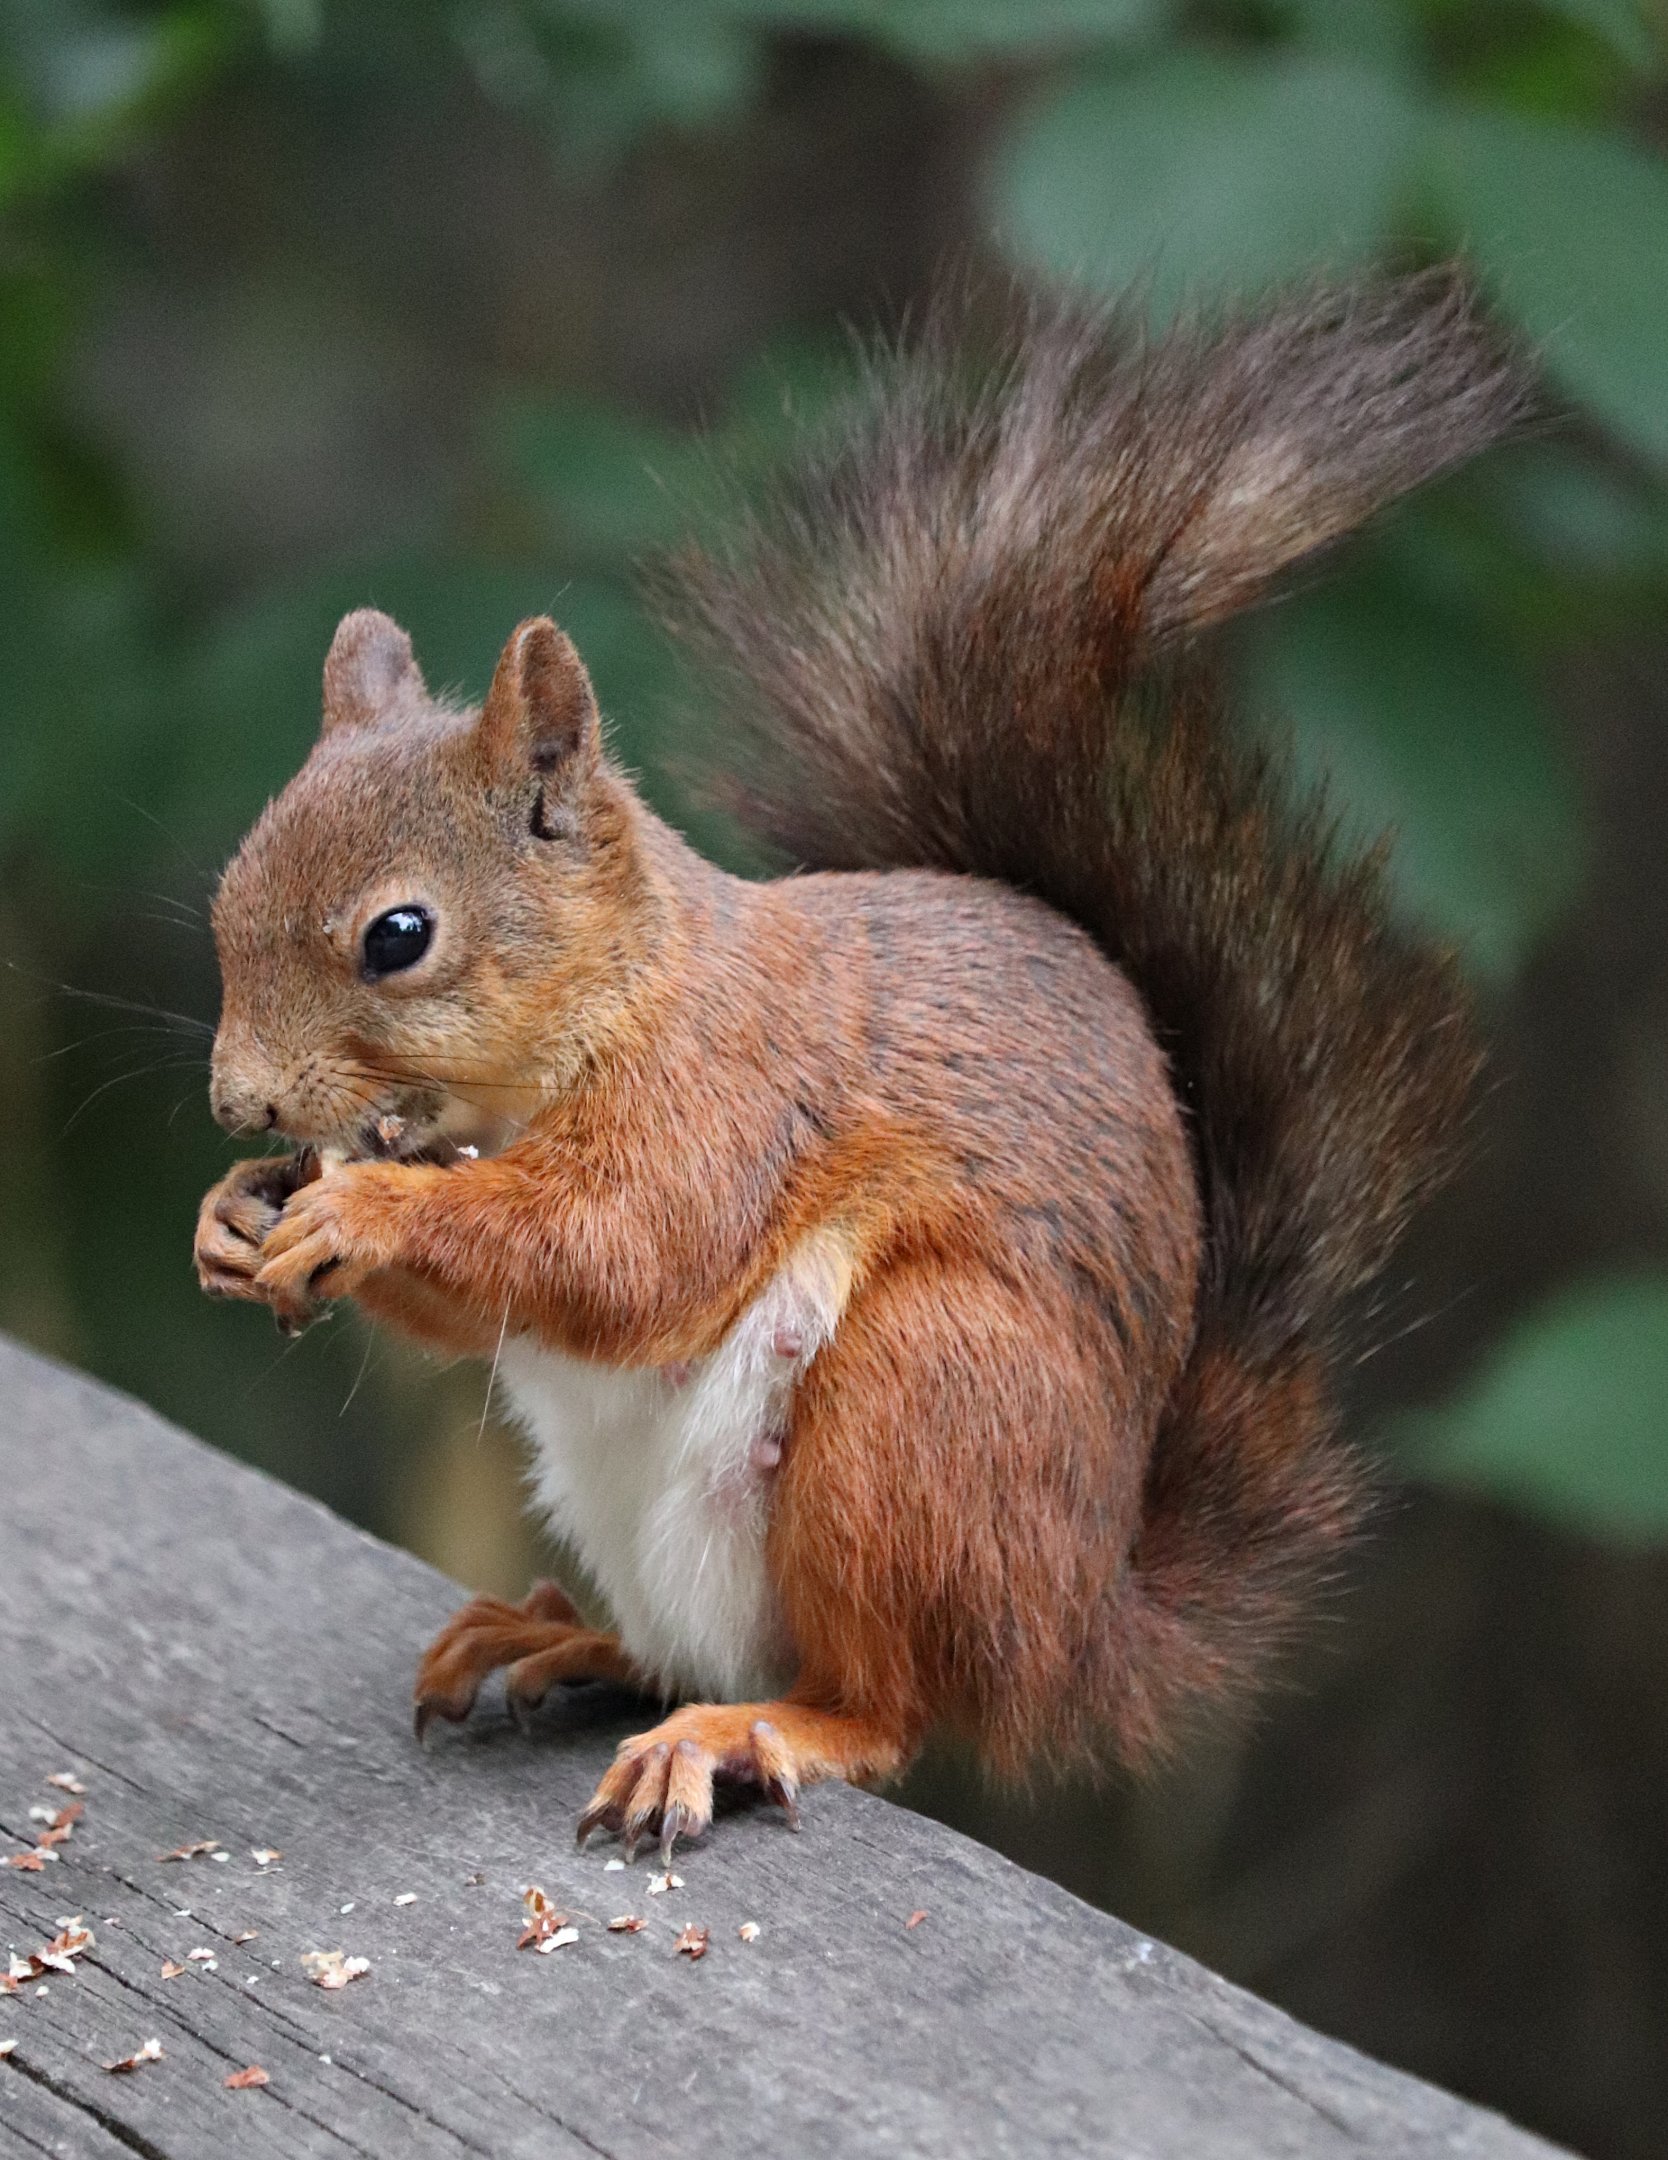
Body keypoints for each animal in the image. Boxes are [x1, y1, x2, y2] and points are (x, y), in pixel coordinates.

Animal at [194, 271, 1524, 1859]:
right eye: (226, 893)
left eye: (399, 936)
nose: (238, 1102)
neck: (611, 1001)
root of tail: (1076, 1632)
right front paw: (232, 1214)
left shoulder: (729, 1097)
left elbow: (619, 1248)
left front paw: (363, 1209)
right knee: (698, 1646)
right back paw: (562, 1639)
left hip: (920, 1404)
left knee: (879, 1703)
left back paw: (749, 1731)